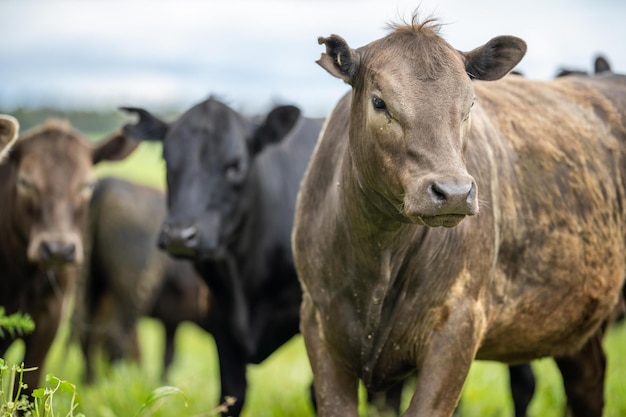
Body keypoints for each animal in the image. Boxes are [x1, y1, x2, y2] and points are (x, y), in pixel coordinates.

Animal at [72, 176, 210, 384]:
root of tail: (110, 182)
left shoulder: (173, 321)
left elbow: (168, 355)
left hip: (92, 285)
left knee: (88, 331)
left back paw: (91, 383)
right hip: (131, 291)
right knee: (116, 335)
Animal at [120, 98, 322, 416]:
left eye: (235, 166)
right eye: (166, 160)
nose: (180, 235)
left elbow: (318, 392)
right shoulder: (221, 316)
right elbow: (231, 395)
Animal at [292, 15, 624, 416]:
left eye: (470, 104)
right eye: (379, 102)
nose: (453, 193)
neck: (376, 264)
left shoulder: (459, 324)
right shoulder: (317, 323)